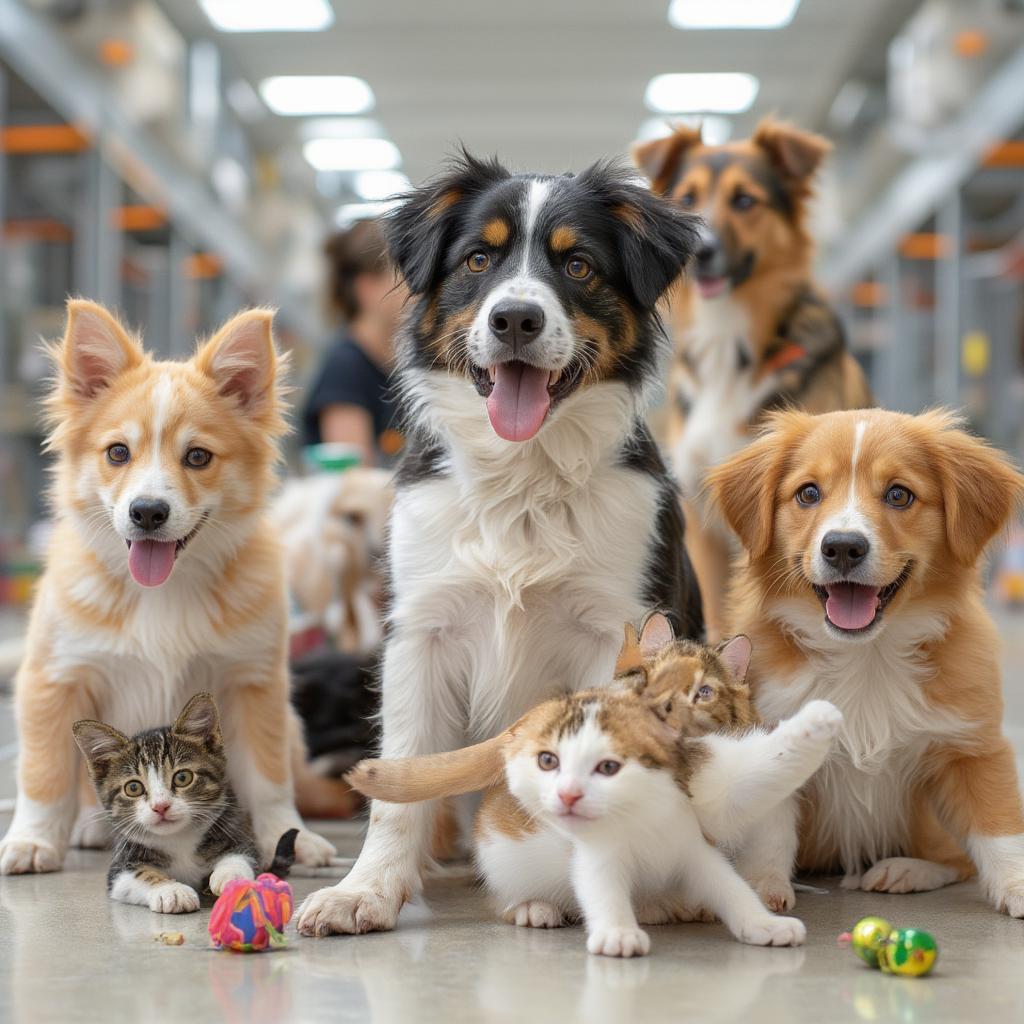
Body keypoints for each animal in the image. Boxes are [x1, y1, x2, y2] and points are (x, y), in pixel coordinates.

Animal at [72, 692, 294, 917]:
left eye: (182, 777)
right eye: (133, 788)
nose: (161, 806)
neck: (178, 838)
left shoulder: (236, 829)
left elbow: (242, 855)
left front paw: (231, 876)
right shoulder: (119, 868)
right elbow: (139, 874)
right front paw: (171, 890)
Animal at [296, 149, 704, 937]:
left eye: (577, 265)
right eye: (479, 259)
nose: (516, 317)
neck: (523, 475)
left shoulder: (615, 629)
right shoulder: (421, 634)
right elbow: (399, 783)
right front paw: (367, 890)